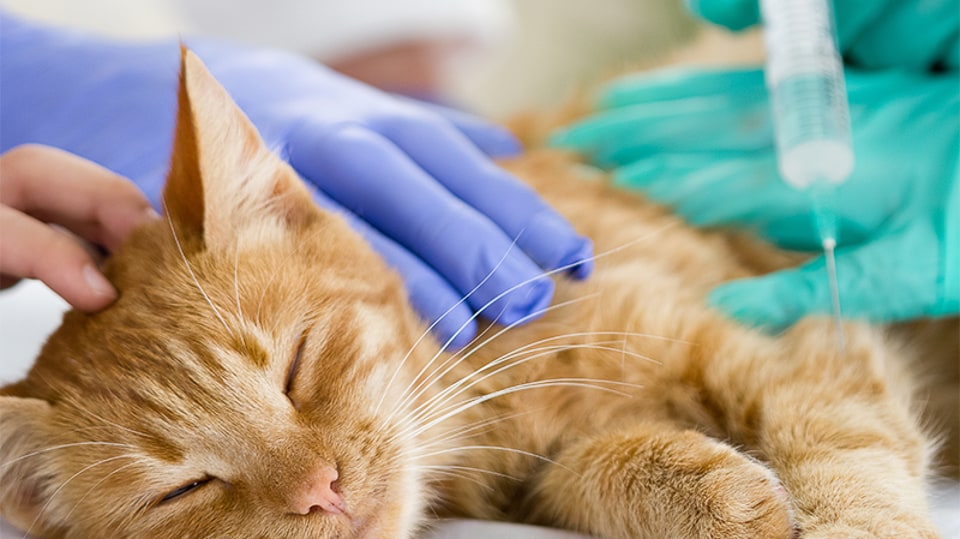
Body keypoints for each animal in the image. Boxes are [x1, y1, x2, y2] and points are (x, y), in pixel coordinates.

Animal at [0, 48, 944, 539]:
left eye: (297, 366)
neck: (486, 398)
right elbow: (596, 471)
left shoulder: (803, 344)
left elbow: (847, 456)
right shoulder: (539, 478)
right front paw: (712, 492)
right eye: (183, 488)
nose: (322, 489)